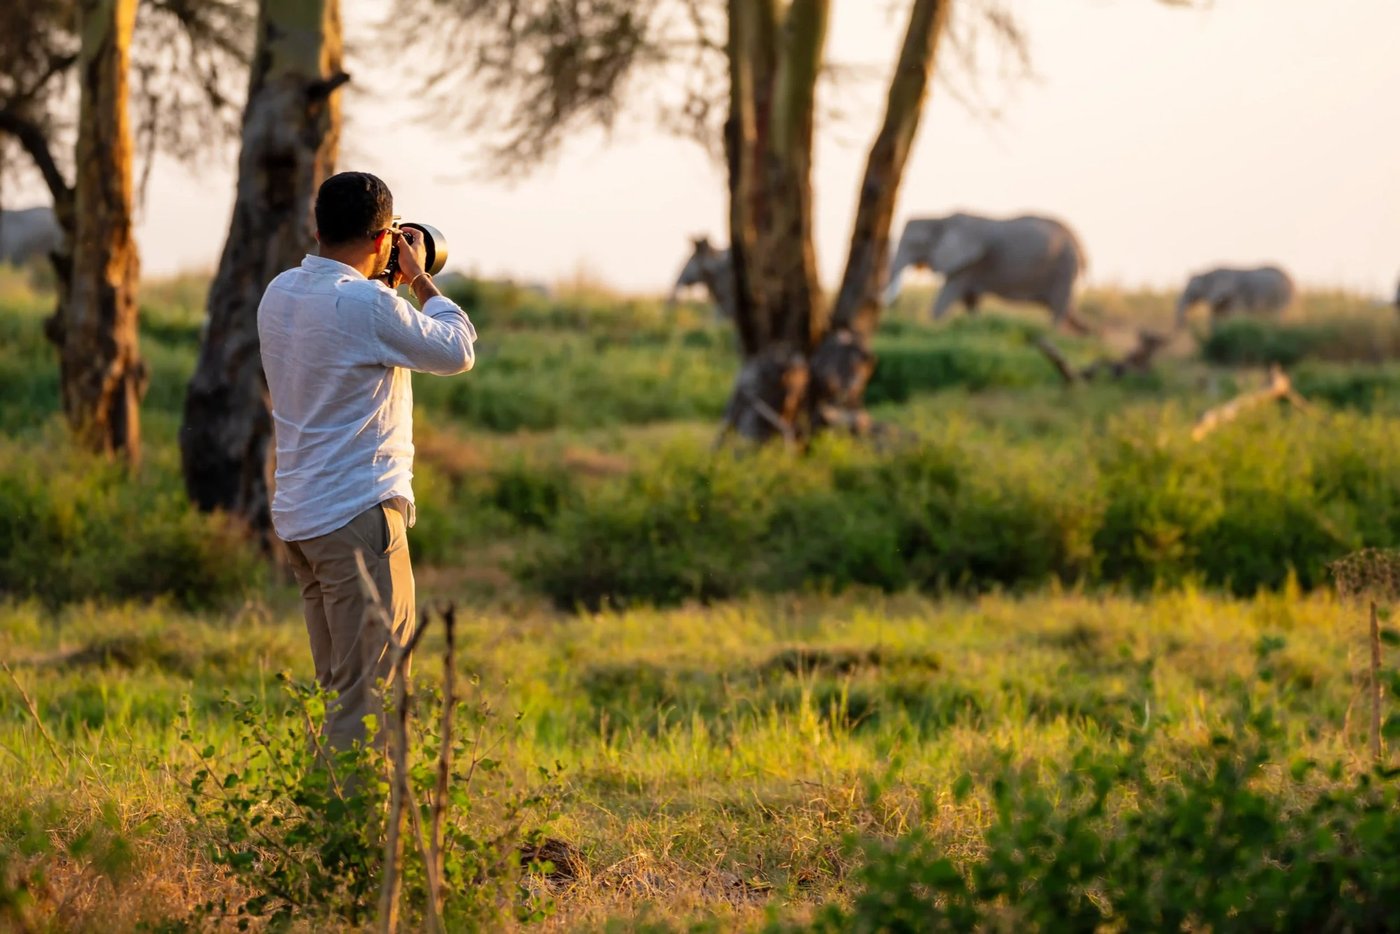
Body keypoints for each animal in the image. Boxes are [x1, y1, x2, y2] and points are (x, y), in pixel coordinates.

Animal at [883, 213, 1089, 331]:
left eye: (916, 244)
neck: (940, 219)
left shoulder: (968, 262)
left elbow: (947, 297)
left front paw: (933, 327)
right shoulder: (970, 267)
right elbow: (970, 301)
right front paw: (974, 327)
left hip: (1063, 268)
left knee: (1059, 309)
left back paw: (1053, 334)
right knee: (1066, 310)